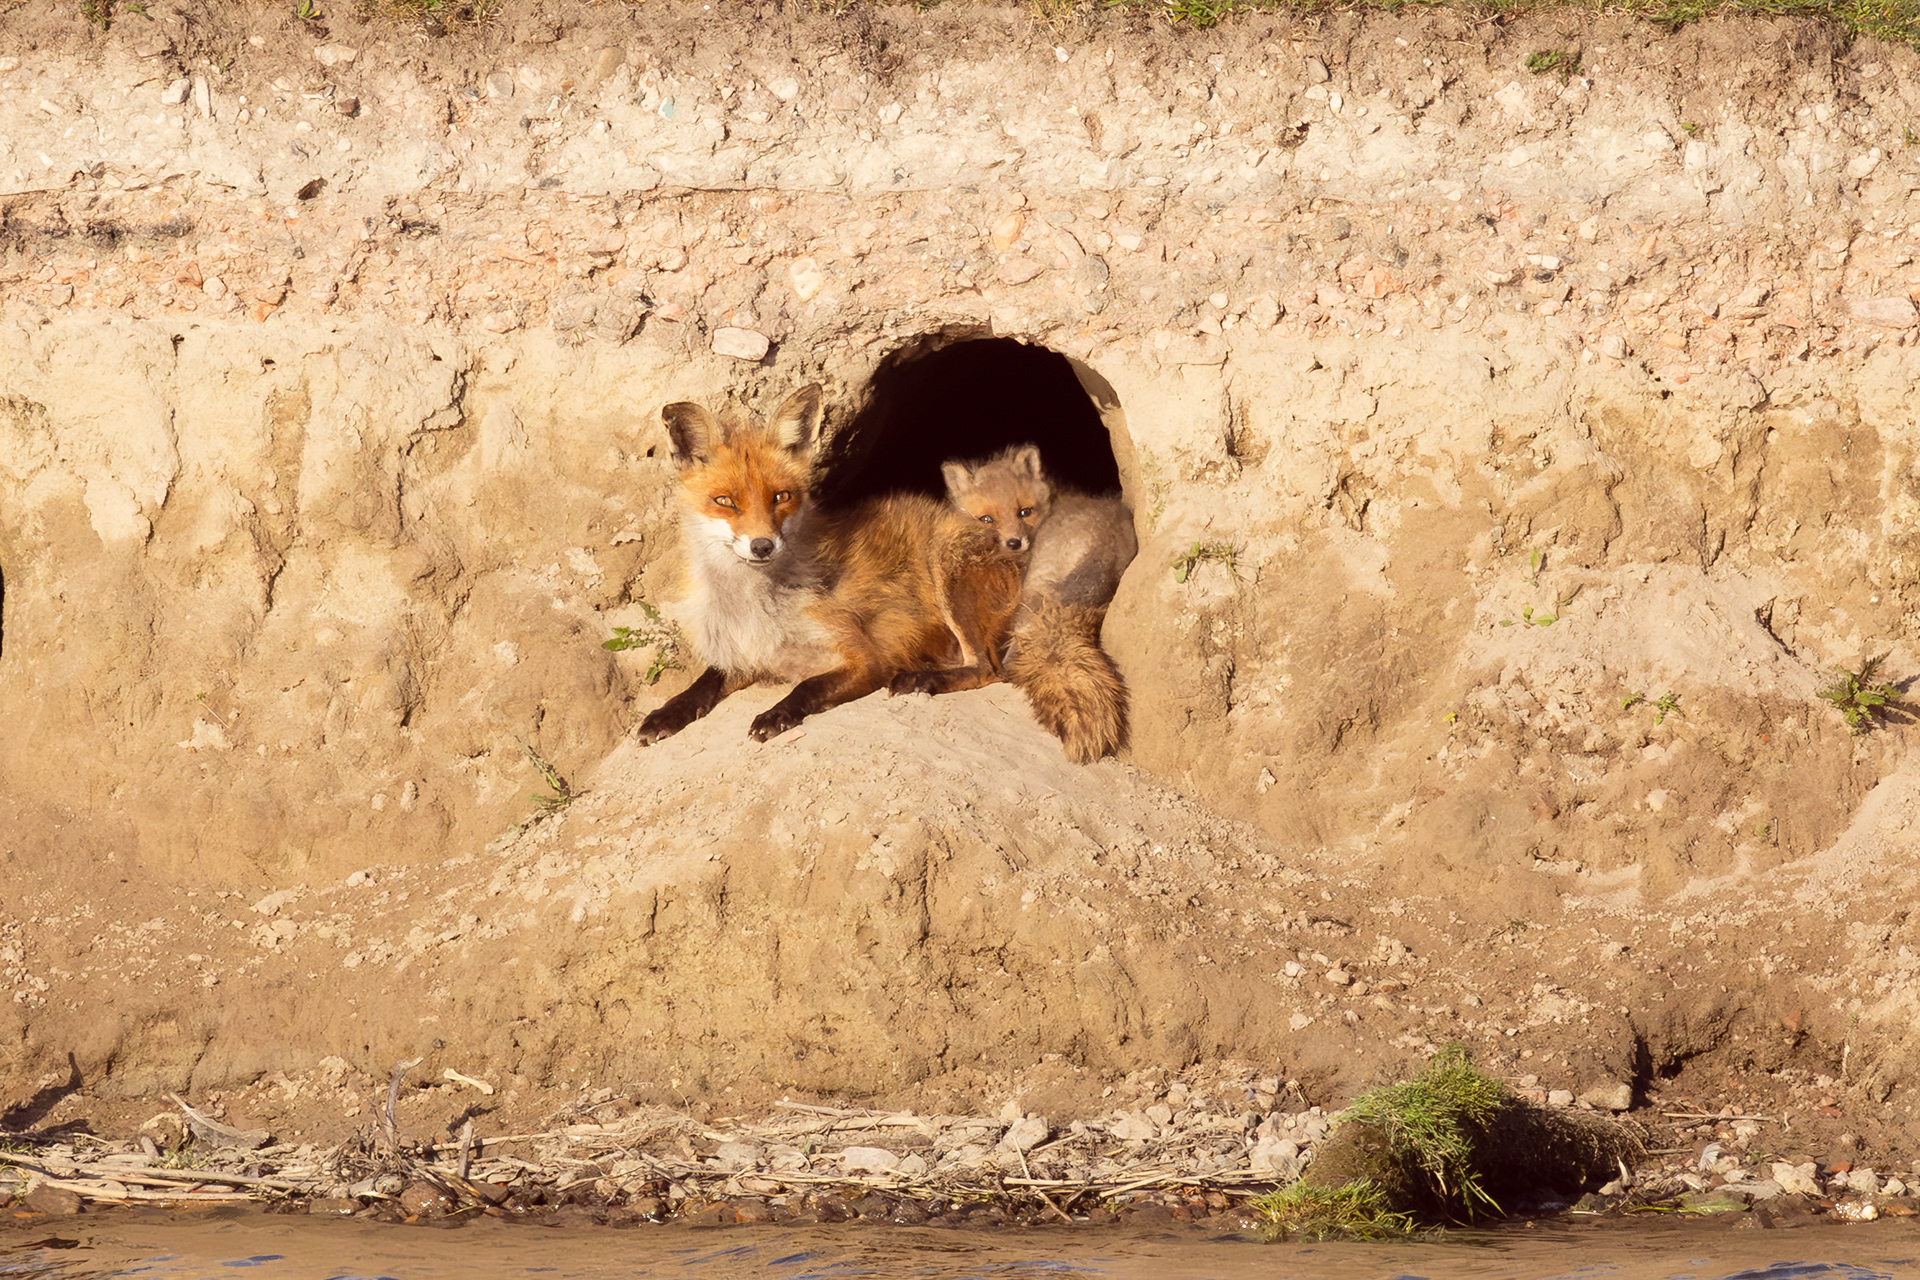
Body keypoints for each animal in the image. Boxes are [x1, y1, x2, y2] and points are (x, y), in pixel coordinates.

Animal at [632, 384, 1030, 746]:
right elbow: (703, 682)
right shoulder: (747, 657)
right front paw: (666, 714)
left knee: (986, 669)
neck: (754, 610)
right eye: (725, 501)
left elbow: (808, 686)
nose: (762, 546)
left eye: (781, 497)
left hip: (947, 572)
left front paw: (776, 714)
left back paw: (921, 678)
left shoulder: (866, 658)